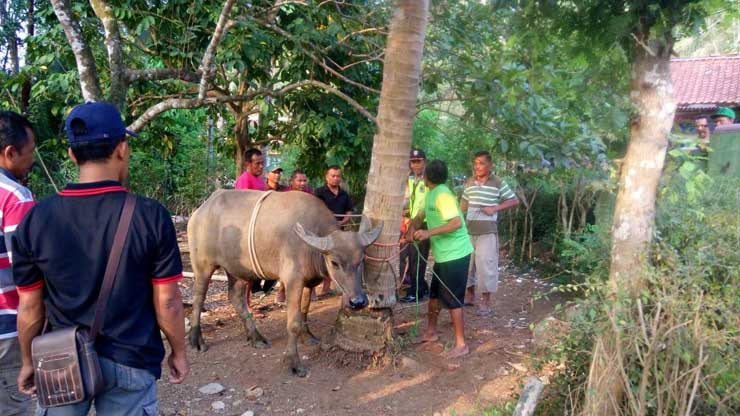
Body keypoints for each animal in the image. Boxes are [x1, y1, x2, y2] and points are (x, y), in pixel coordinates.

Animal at [186, 190, 382, 376]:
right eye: (334, 262)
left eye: (362, 259)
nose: (358, 302)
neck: (311, 249)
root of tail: (200, 211)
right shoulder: (292, 281)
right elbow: (293, 322)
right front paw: (293, 362)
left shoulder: (308, 283)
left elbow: (304, 312)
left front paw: (308, 337)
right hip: (202, 265)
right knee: (198, 297)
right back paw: (196, 340)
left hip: (238, 271)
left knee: (235, 297)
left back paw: (256, 337)